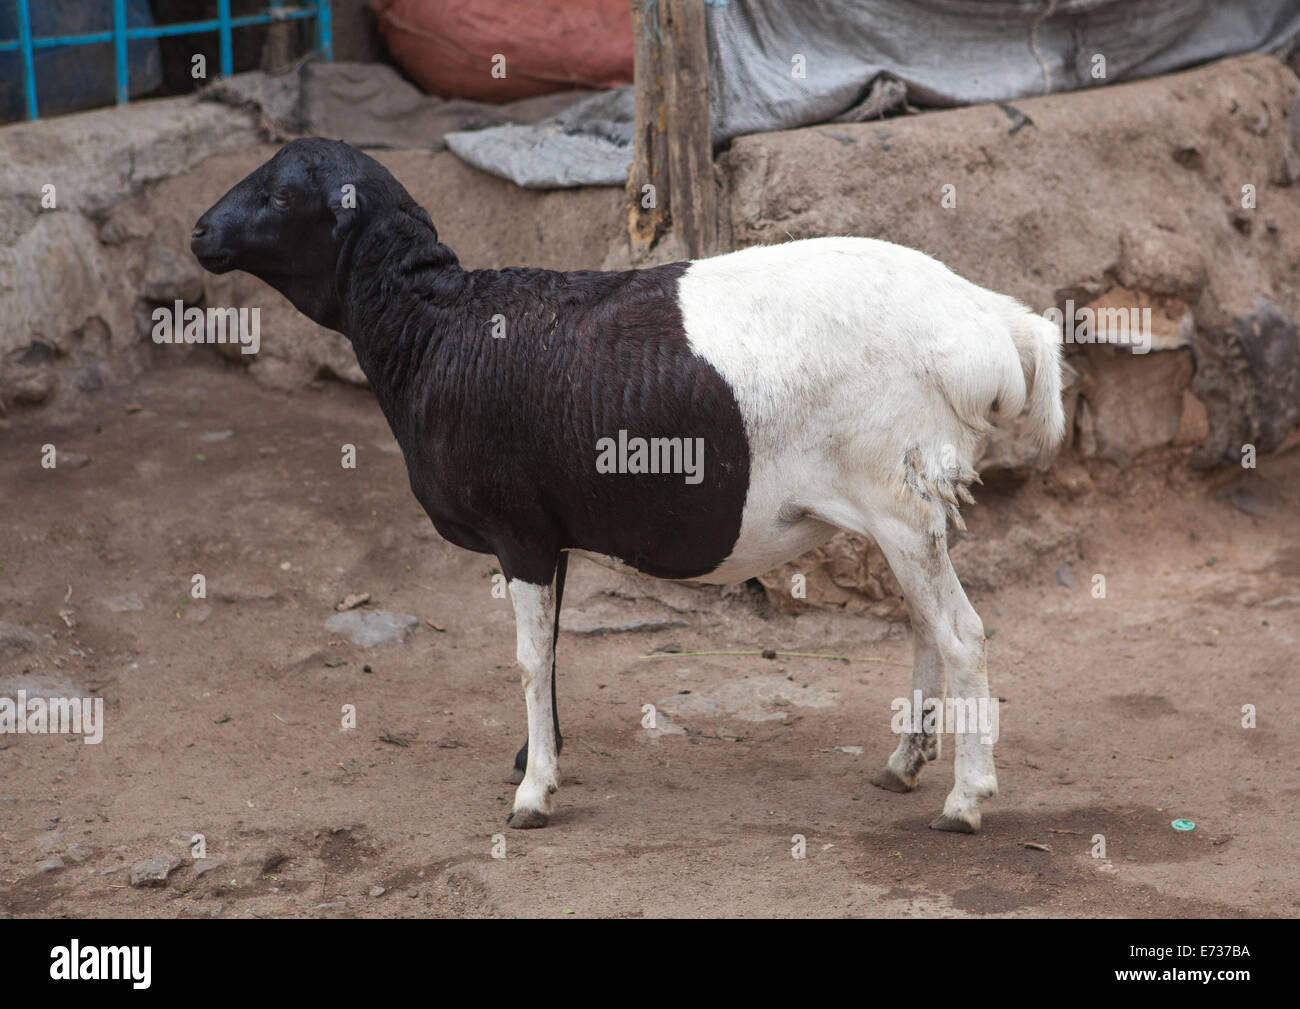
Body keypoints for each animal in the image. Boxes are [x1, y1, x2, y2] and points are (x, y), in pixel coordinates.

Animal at [192, 138, 1065, 833]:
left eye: (279, 196)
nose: (199, 232)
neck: (436, 328)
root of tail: (993, 323)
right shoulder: (550, 531)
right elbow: (548, 653)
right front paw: (535, 756)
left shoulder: (518, 531)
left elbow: (526, 657)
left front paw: (535, 795)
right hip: (908, 503)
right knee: (927, 627)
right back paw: (903, 764)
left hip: (897, 492)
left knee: (962, 634)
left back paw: (965, 801)